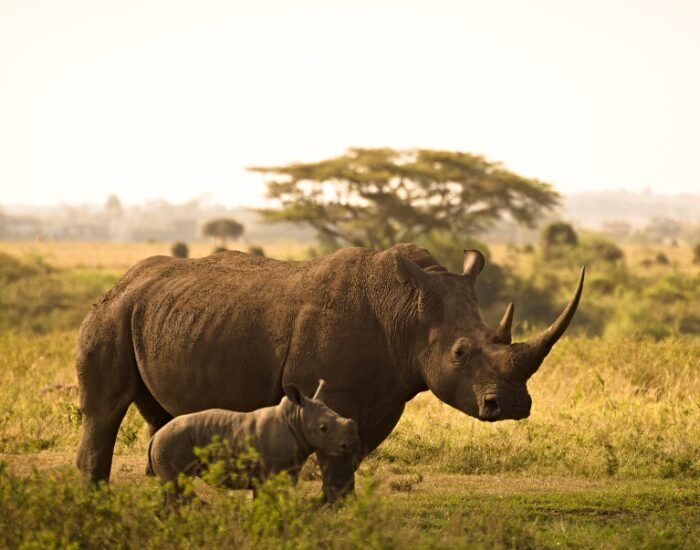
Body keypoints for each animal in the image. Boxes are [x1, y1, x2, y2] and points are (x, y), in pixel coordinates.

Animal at [146, 379, 359, 497]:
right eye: (323, 428)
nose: (350, 445)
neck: (296, 419)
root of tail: (155, 436)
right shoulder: (272, 472)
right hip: (172, 444)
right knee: (178, 488)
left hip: (168, 444)